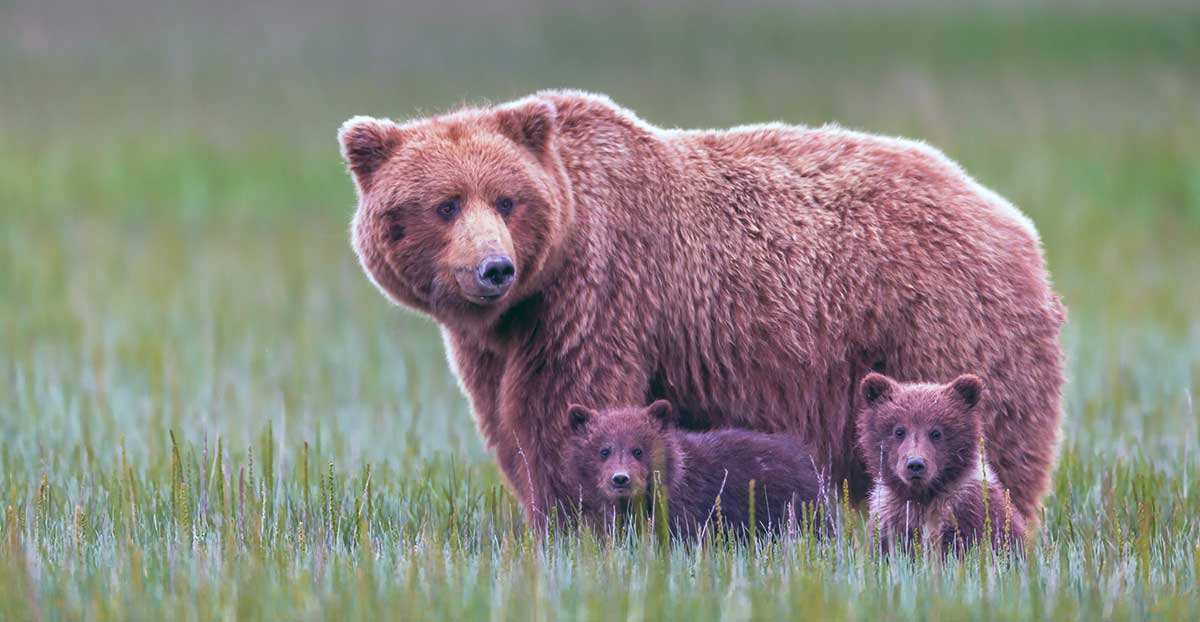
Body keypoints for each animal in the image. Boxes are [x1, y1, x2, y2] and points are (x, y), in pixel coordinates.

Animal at [859, 372, 1027, 559]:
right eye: (899, 431)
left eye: (936, 433)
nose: (915, 464)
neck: (924, 496)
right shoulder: (892, 517)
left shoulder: (968, 511)